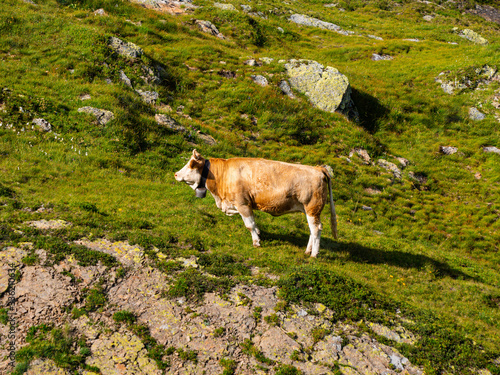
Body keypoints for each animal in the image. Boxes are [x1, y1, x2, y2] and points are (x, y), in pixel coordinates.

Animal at [174, 150, 338, 258]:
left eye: (190, 165)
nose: (175, 174)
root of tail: (317, 169)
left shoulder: (243, 203)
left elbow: (249, 224)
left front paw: (256, 242)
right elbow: (254, 223)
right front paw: (259, 233)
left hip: (312, 208)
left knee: (316, 229)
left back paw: (314, 254)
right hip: (309, 210)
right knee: (312, 230)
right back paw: (308, 251)